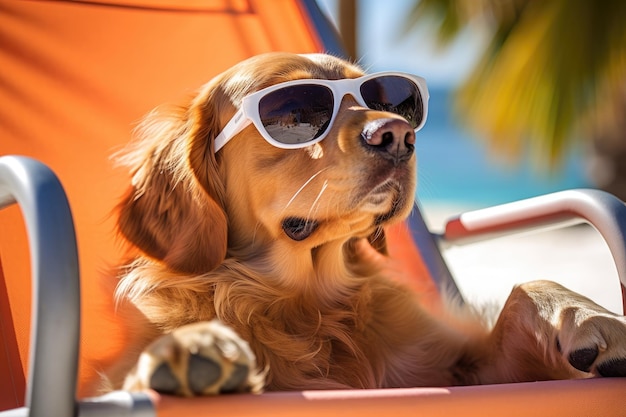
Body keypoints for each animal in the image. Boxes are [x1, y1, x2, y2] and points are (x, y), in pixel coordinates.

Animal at [112, 50, 624, 394]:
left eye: (392, 101)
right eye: (294, 113)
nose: (398, 134)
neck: (311, 307)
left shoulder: (469, 371)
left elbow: (525, 290)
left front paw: (591, 317)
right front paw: (192, 346)